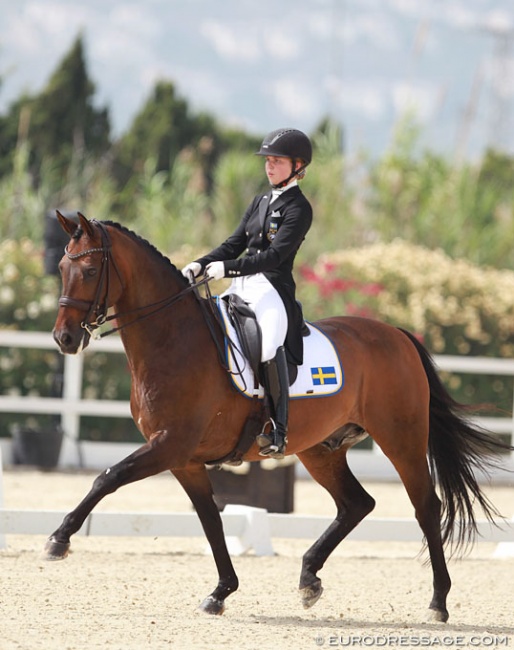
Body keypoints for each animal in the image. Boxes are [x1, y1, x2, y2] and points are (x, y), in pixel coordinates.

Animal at [46, 211, 510, 616]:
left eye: (90, 270)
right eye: (62, 267)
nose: (64, 339)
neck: (174, 340)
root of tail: (397, 334)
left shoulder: (169, 445)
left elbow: (108, 477)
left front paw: (59, 539)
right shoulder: (183, 459)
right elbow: (211, 519)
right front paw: (221, 592)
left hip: (402, 439)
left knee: (425, 507)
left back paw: (438, 602)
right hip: (321, 449)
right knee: (356, 503)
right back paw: (309, 579)